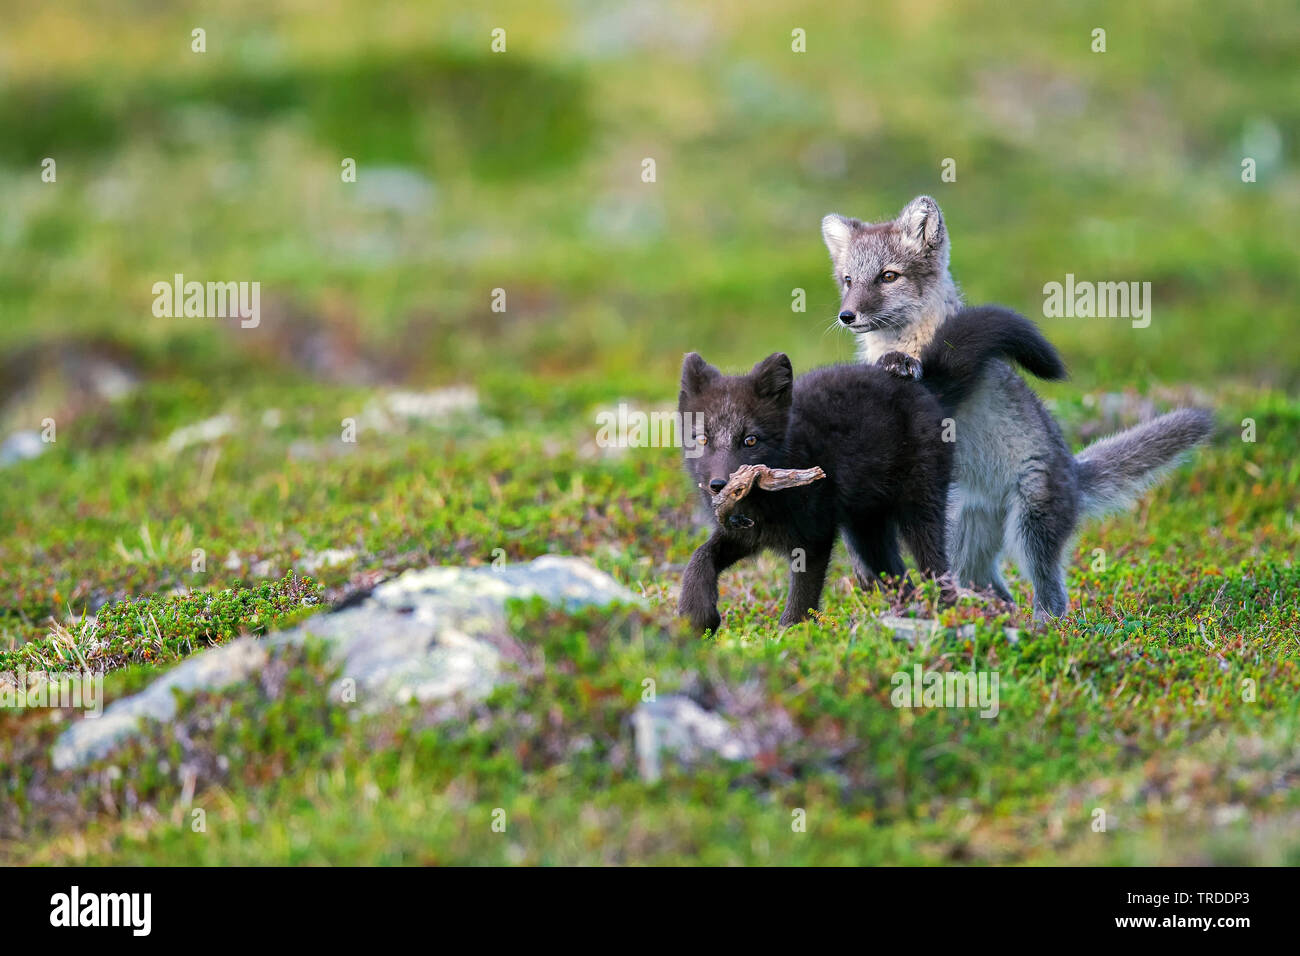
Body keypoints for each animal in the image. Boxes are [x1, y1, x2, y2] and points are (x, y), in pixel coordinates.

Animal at [816, 197, 1211, 616]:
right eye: (848, 280)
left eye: (888, 276)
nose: (847, 315)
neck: (904, 342)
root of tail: (1074, 472)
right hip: (965, 535)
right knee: (991, 586)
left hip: (1030, 525)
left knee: (1051, 593)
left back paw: (1042, 623)